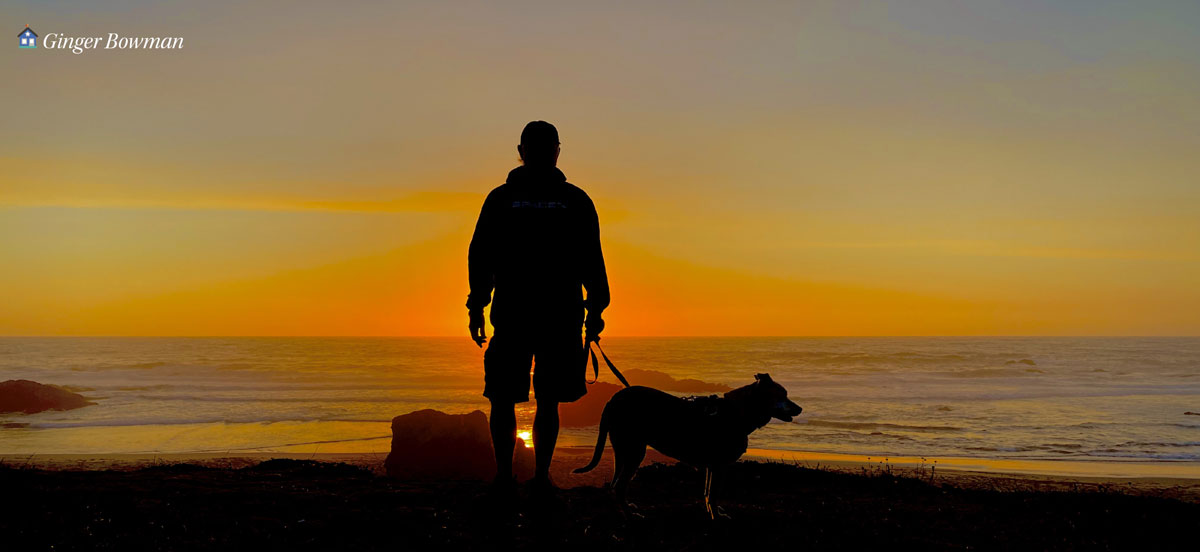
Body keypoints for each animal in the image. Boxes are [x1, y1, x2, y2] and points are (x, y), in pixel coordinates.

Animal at [573, 372, 801, 516]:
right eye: (782, 395)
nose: (800, 409)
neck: (737, 412)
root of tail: (612, 400)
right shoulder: (719, 465)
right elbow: (714, 495)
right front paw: (716, 518)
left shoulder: (712, 466)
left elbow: (708, 493)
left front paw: (713, 513)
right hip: (634, 450)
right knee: (620, 485)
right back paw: (630, 515)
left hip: (622, 449)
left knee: (615, 485)